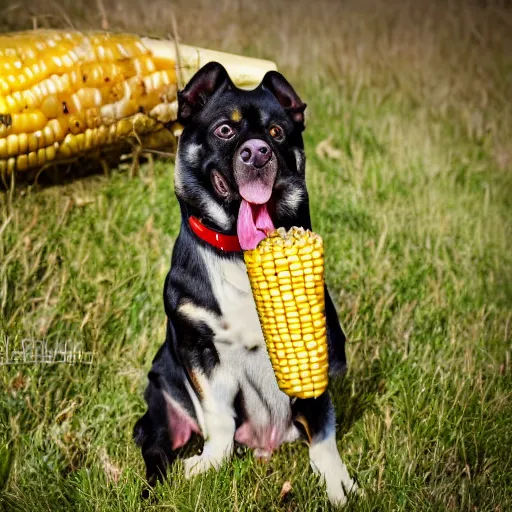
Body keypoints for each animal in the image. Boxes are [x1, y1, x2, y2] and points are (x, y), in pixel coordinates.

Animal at [133, 62, 356, 506]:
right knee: (155, 445)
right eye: (224, 130)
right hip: (162, 395)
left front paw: (335, 479)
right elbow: (218, 416)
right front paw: (210, 462)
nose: (256, 152)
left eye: (277, 131)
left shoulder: (317, 347)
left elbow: (322, 424)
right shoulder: (198, 348)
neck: (240, 252)